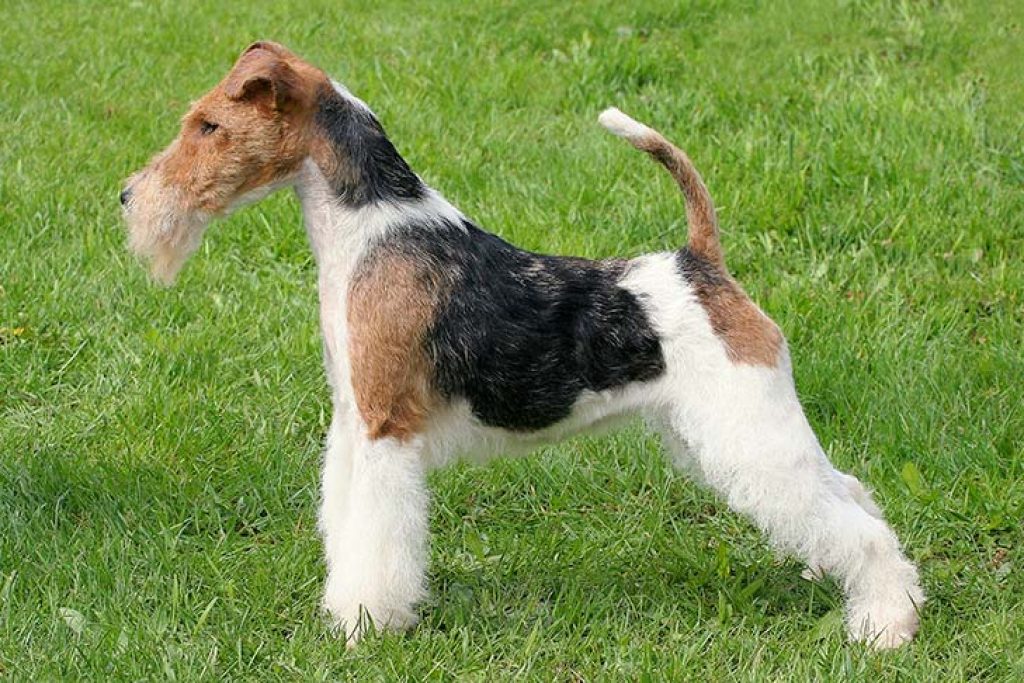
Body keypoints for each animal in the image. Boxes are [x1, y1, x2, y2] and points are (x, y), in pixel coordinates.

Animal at [121, 40, 929, 651]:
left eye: (209, 126)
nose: (128, 197)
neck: (371, 230)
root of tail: (702, 262)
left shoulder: (385, 427)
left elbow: (376, 540)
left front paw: (363, 627)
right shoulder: (354, 422)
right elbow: (345, 523)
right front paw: (343, 612)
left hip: (746, 425)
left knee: (857, 522)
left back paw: (884, 625)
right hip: (731, 427)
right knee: (849, 494)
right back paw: (840, 586)